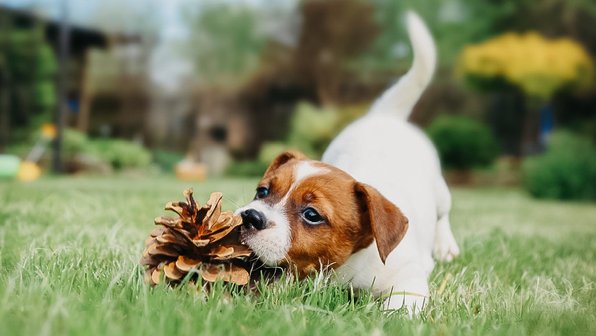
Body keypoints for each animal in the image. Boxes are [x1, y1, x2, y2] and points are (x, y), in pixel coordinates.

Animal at [235, 11, 458, 314]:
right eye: (263, 191)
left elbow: (401, 305)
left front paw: (392, 316)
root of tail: (385, 116)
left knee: (443, 214)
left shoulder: (407, 277)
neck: (342, 269)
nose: (250, 216)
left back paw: (445, 246)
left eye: (312, 214)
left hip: (440, 190)